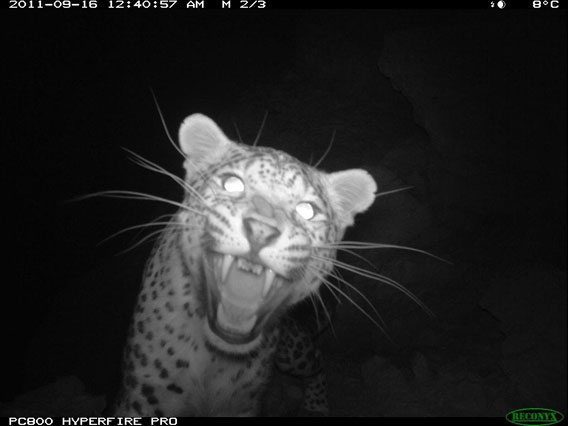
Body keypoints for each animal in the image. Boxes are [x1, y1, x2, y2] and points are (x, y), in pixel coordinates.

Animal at [110, 113, 378, 416]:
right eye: (231, 183)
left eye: (307, 210)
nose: (261, 230)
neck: (214, 357)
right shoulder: (142, 397)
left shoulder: (243, 405)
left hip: (290, 352)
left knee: (316, 362)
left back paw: (315, 407)